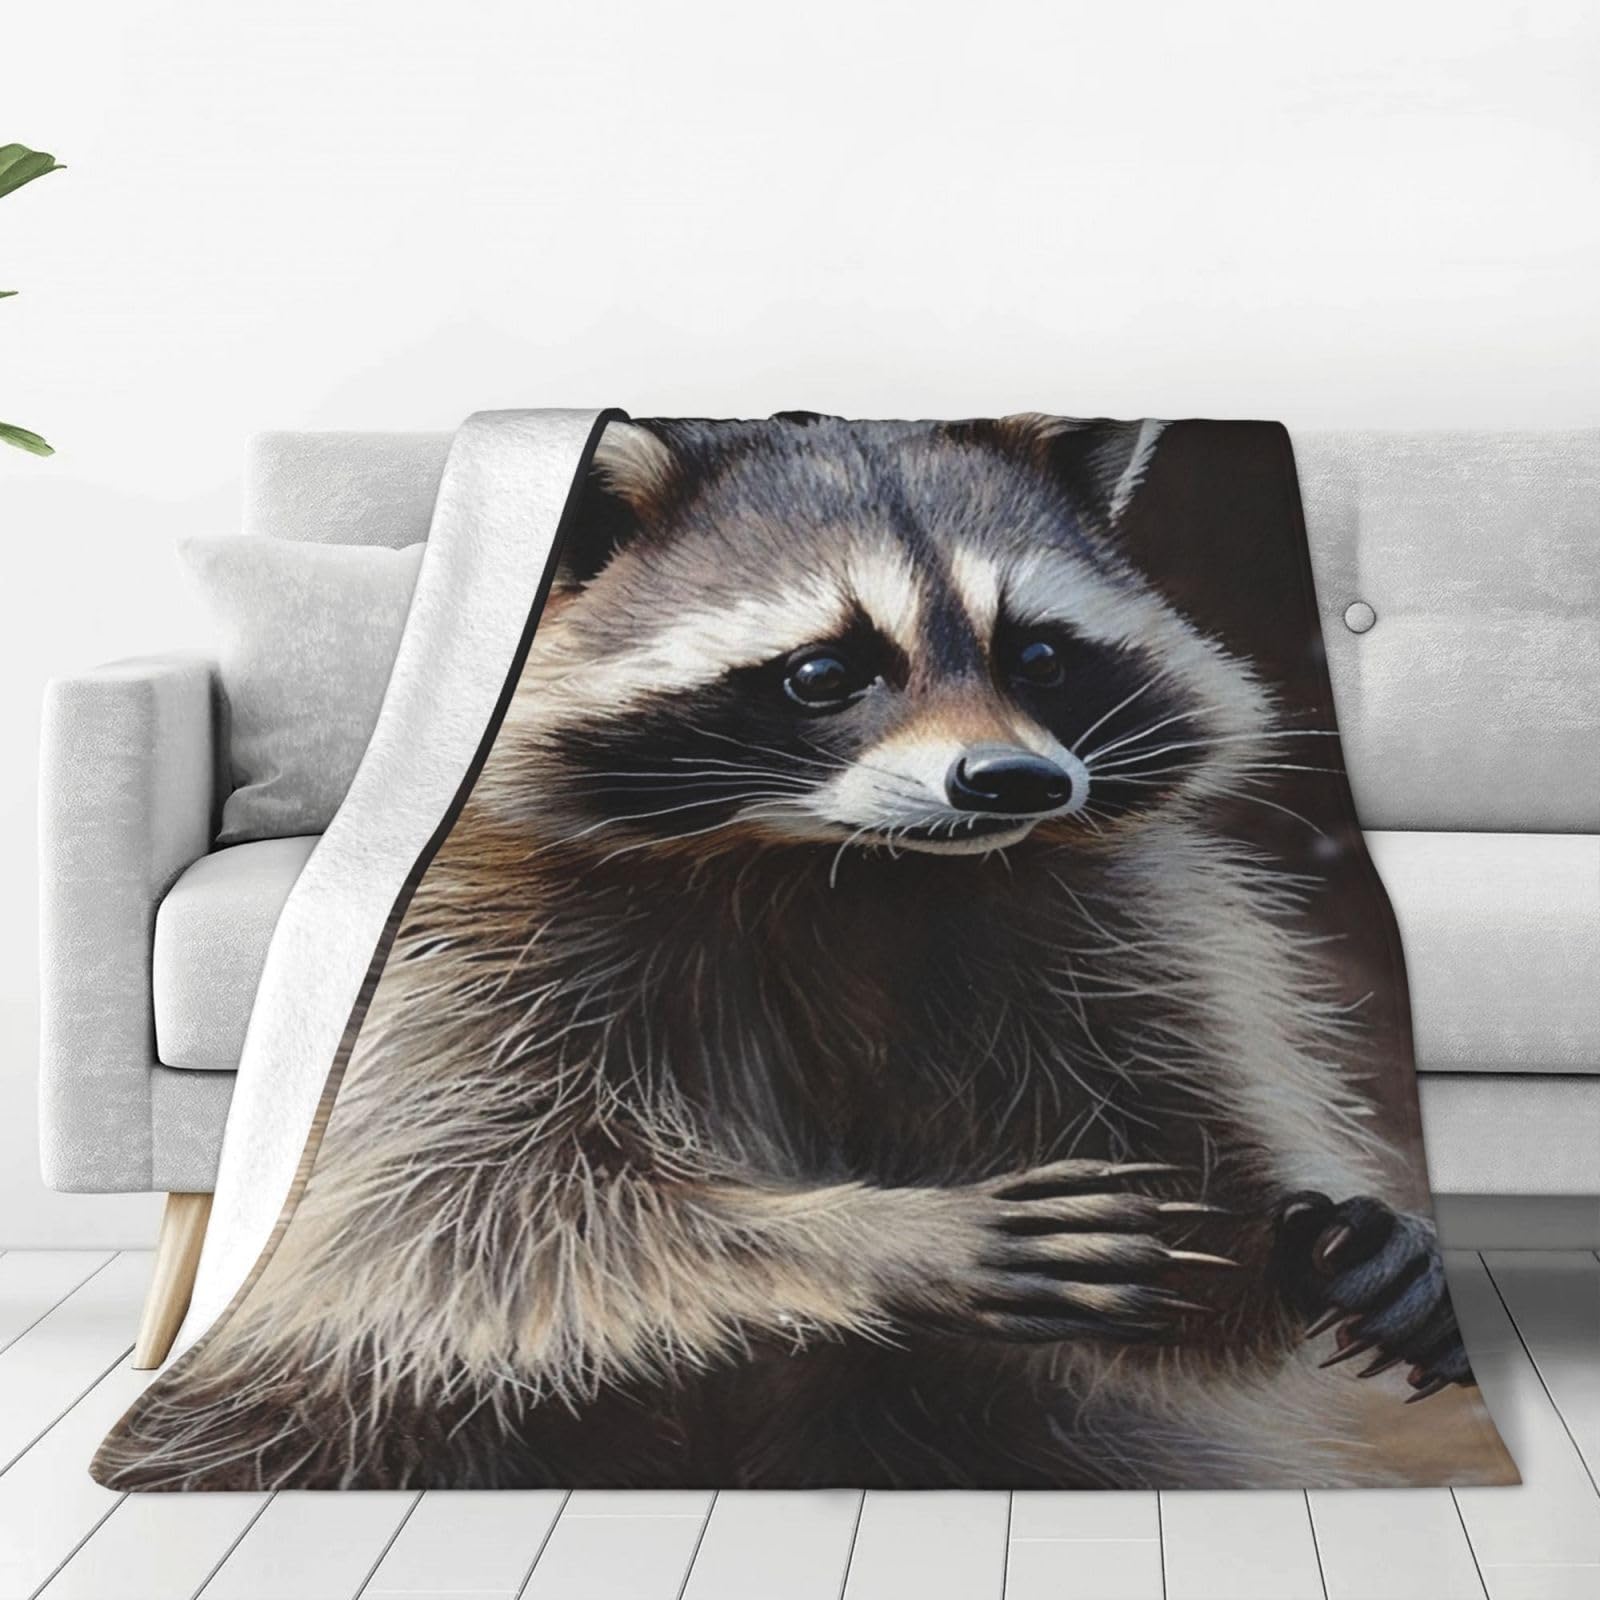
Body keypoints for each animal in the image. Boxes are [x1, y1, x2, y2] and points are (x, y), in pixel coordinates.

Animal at [100, 415, 1474, 1491]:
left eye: (1036, 653)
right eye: (825, 671)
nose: (1015, 780)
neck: (832, 867)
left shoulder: (1087, 926)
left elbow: (1172, 1169)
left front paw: (1303, 1239)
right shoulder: (464, 946)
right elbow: (452, 1215)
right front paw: (869, 1237)